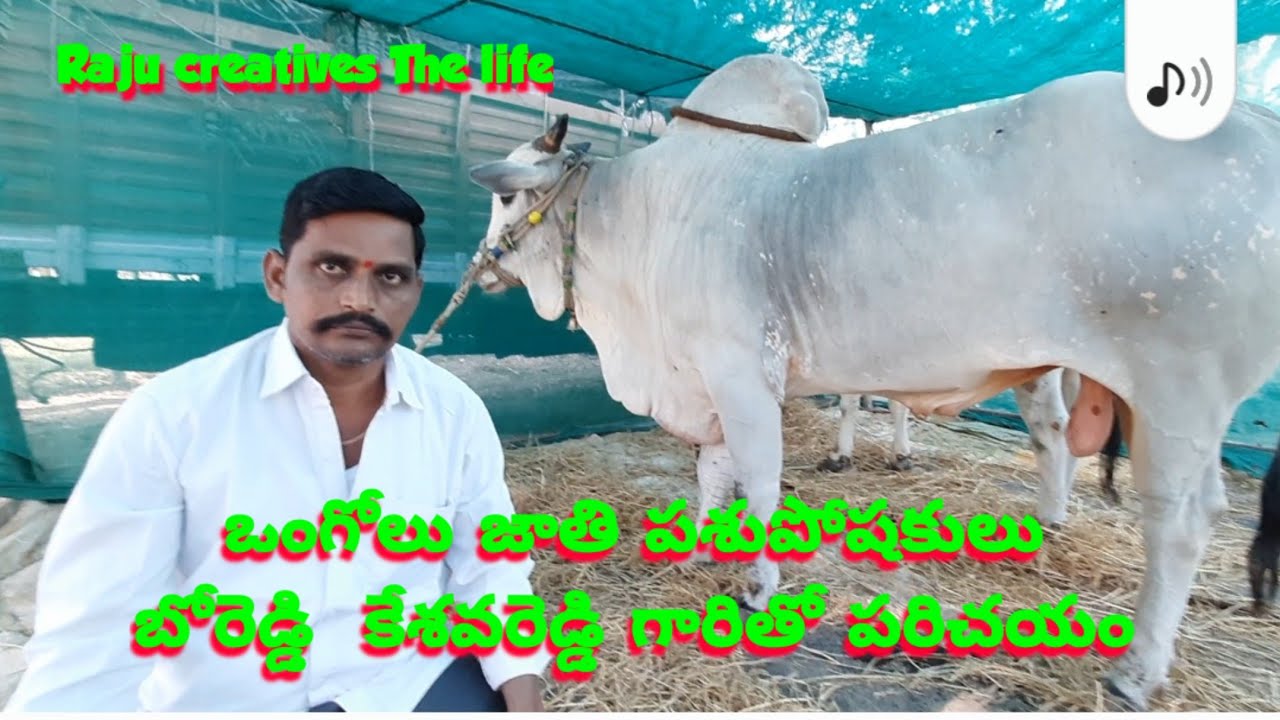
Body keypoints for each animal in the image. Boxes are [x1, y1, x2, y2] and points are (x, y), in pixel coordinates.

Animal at [454, 58, 1280, 710]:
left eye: (506, 197)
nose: (481, 266)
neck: (643, 225)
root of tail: (1254, 121)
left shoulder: (739, 373)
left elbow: (757, 485)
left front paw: (757, 588)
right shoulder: (703, 381)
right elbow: (711, 475)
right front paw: (694, 553)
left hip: (1177, 391)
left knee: (1179, 521)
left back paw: (1135, 672)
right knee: (1102, 464)